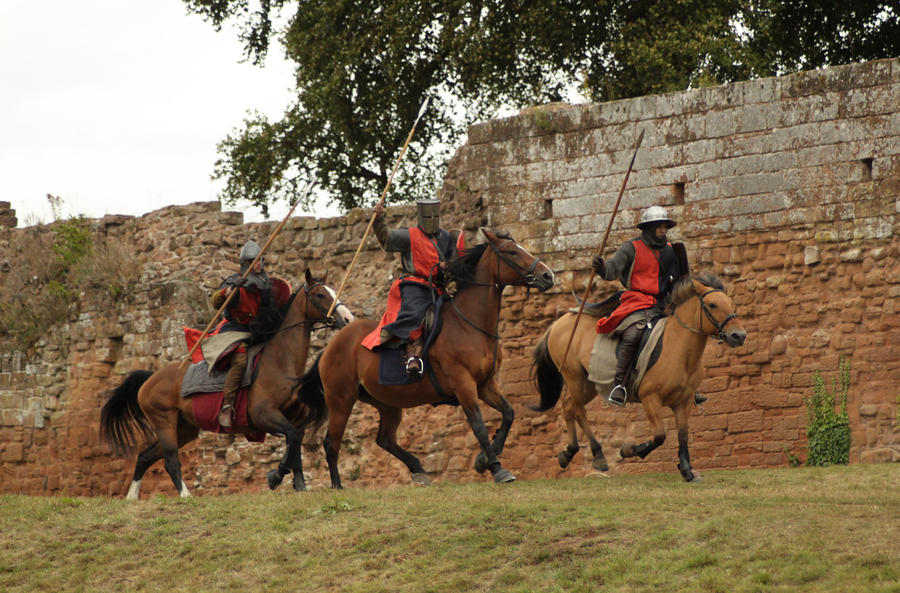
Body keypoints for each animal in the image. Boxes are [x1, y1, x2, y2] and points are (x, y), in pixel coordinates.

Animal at [98, 270, 352, 498]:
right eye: (320, 294)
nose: (347, 319)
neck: (279, 362)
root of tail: (150, 379)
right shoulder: (263, 415)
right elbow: (291, 440)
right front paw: (276, 476)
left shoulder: (296, 418)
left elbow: (296, 445)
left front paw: (298, 485)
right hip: (164, 422)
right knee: (170, 461)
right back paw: (185, 495)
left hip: (184, 428)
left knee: (145, 456)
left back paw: (132, 497)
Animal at [300, 229, 556, 488]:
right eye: (511, 252)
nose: (547, 276)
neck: (469, 323)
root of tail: (331, 347)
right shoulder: (464, 386)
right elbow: (479, 427)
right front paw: (496, 467)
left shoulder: (485, 384)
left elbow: (509, 414)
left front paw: (484, 459)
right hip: (341, 399)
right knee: (332, 443)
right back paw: (337, 485)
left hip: (386, 402)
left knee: (385, 439)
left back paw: (418, 468)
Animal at [532, 272, 748, 480]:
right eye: (712, 304)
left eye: (730, 304)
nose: (739, 335)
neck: (678, 348)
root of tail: (558, 324)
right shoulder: (650, 398)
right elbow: (660, 435)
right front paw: (630, 450)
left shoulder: (684, 402)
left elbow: (683, 436)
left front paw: (687, 471)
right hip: (575, 377)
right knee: (578, 411)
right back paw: (599, 455)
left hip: (588, 384)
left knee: (568, 406)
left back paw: (569, 452)